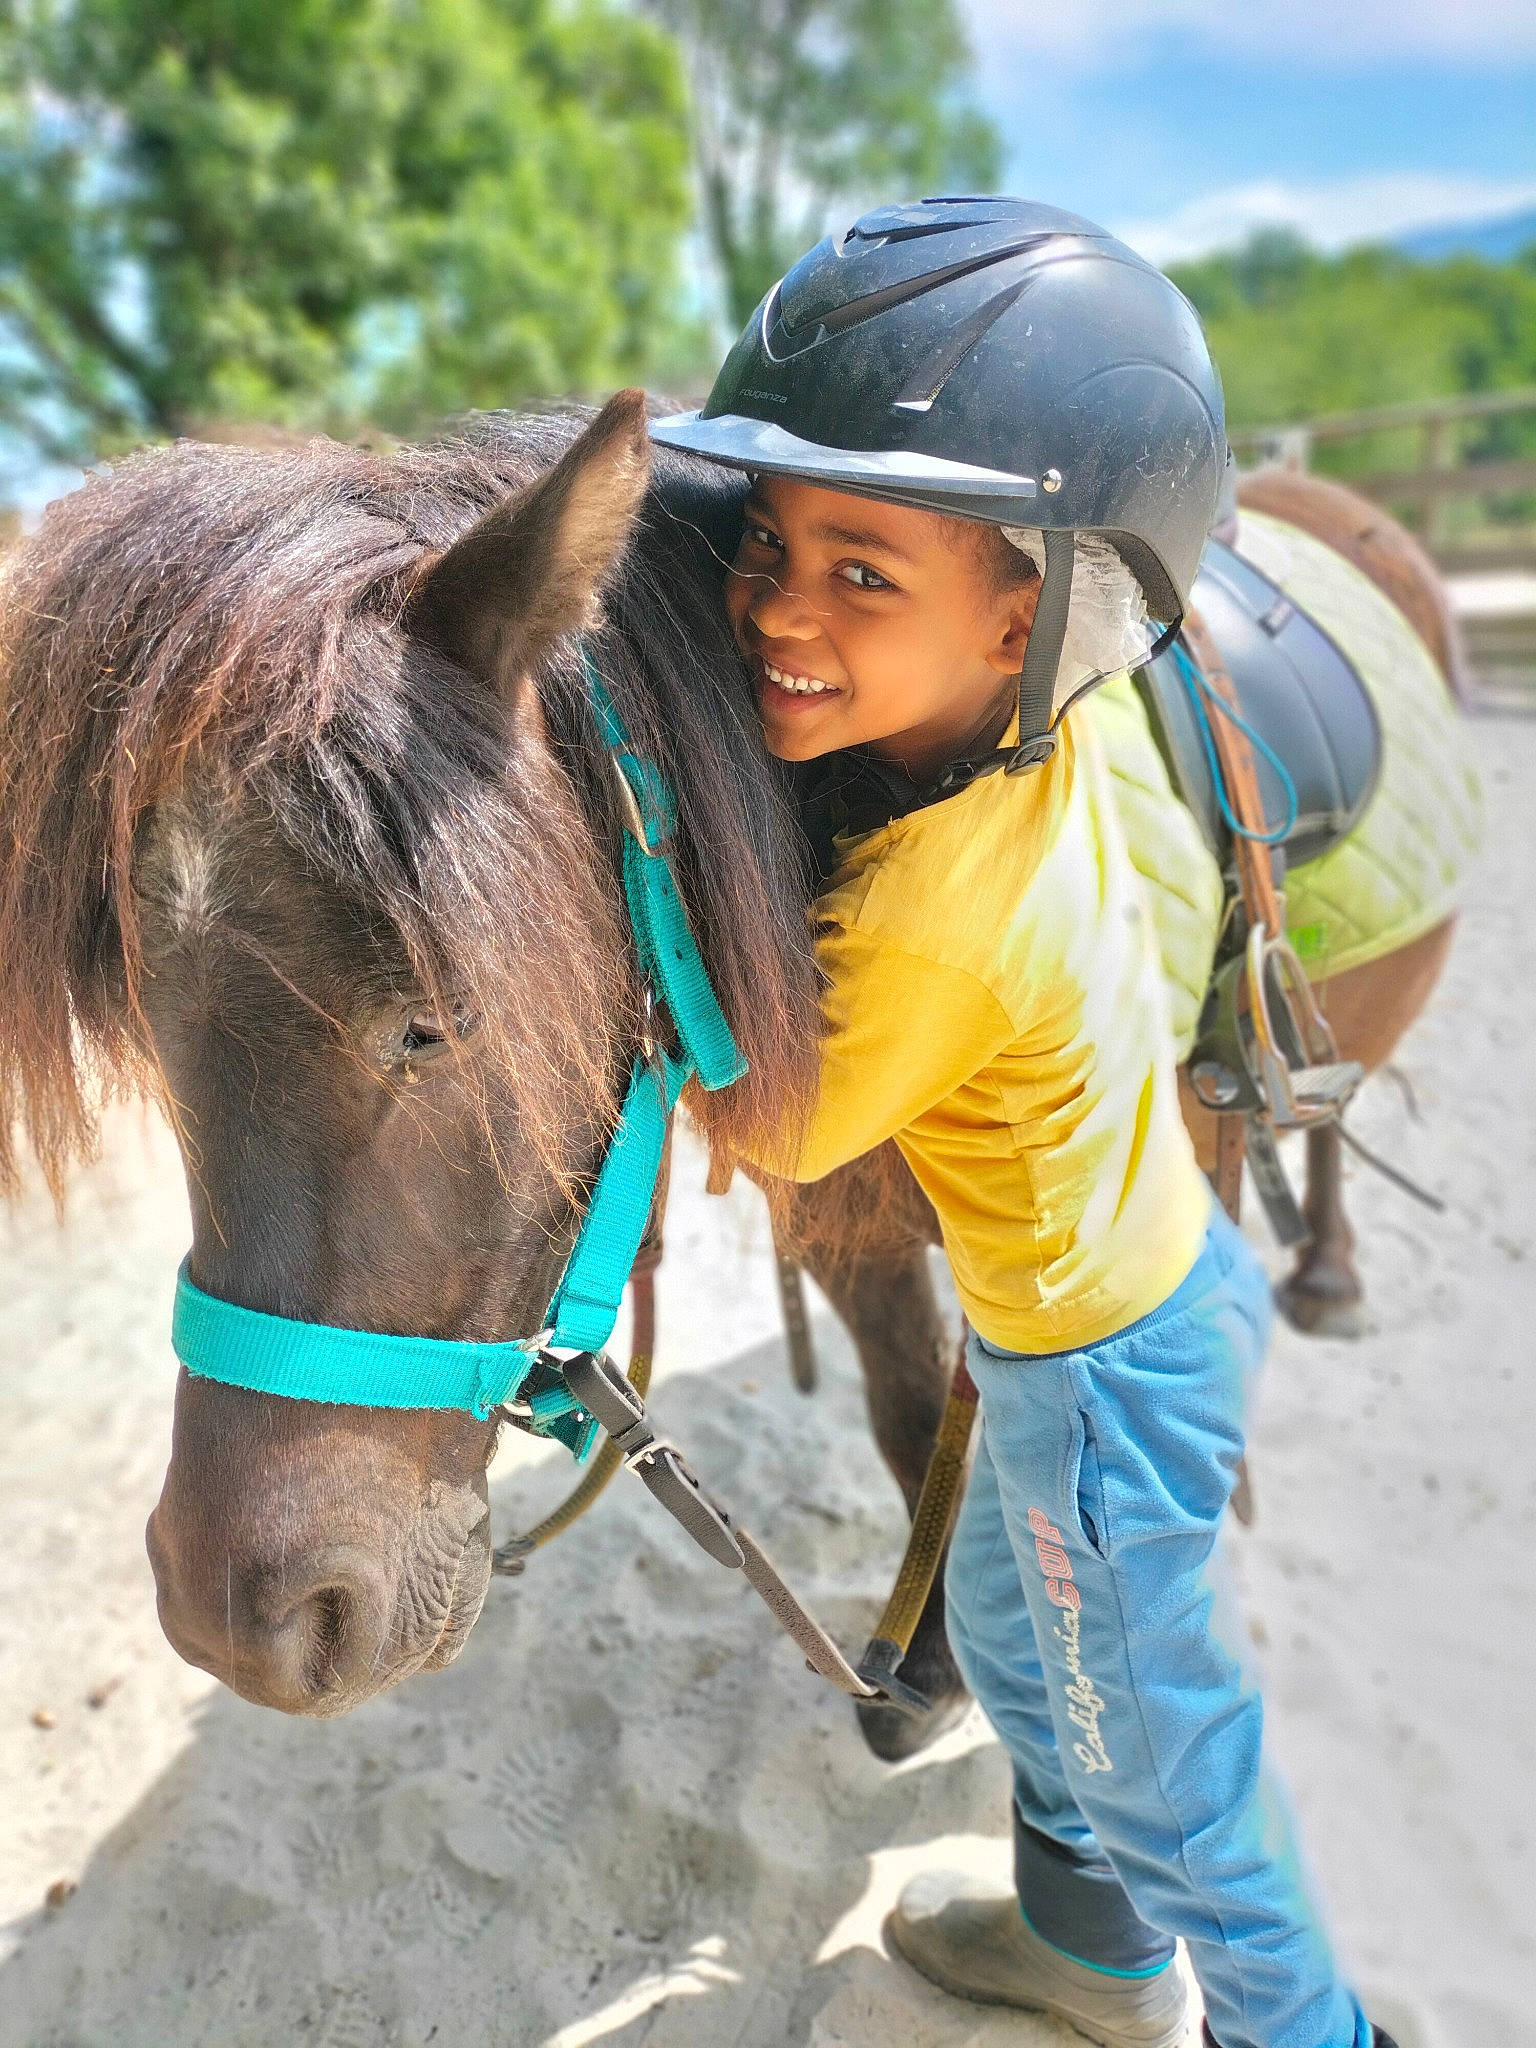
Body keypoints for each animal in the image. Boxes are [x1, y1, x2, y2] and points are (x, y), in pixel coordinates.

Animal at [0, 395, 1473, 1760]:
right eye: (155, 1029)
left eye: (428, 1024)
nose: (239, 1624)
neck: (910, 804)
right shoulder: (850, 1215)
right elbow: (907, 1416)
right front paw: (924, 1669)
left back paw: (1329, 1271)